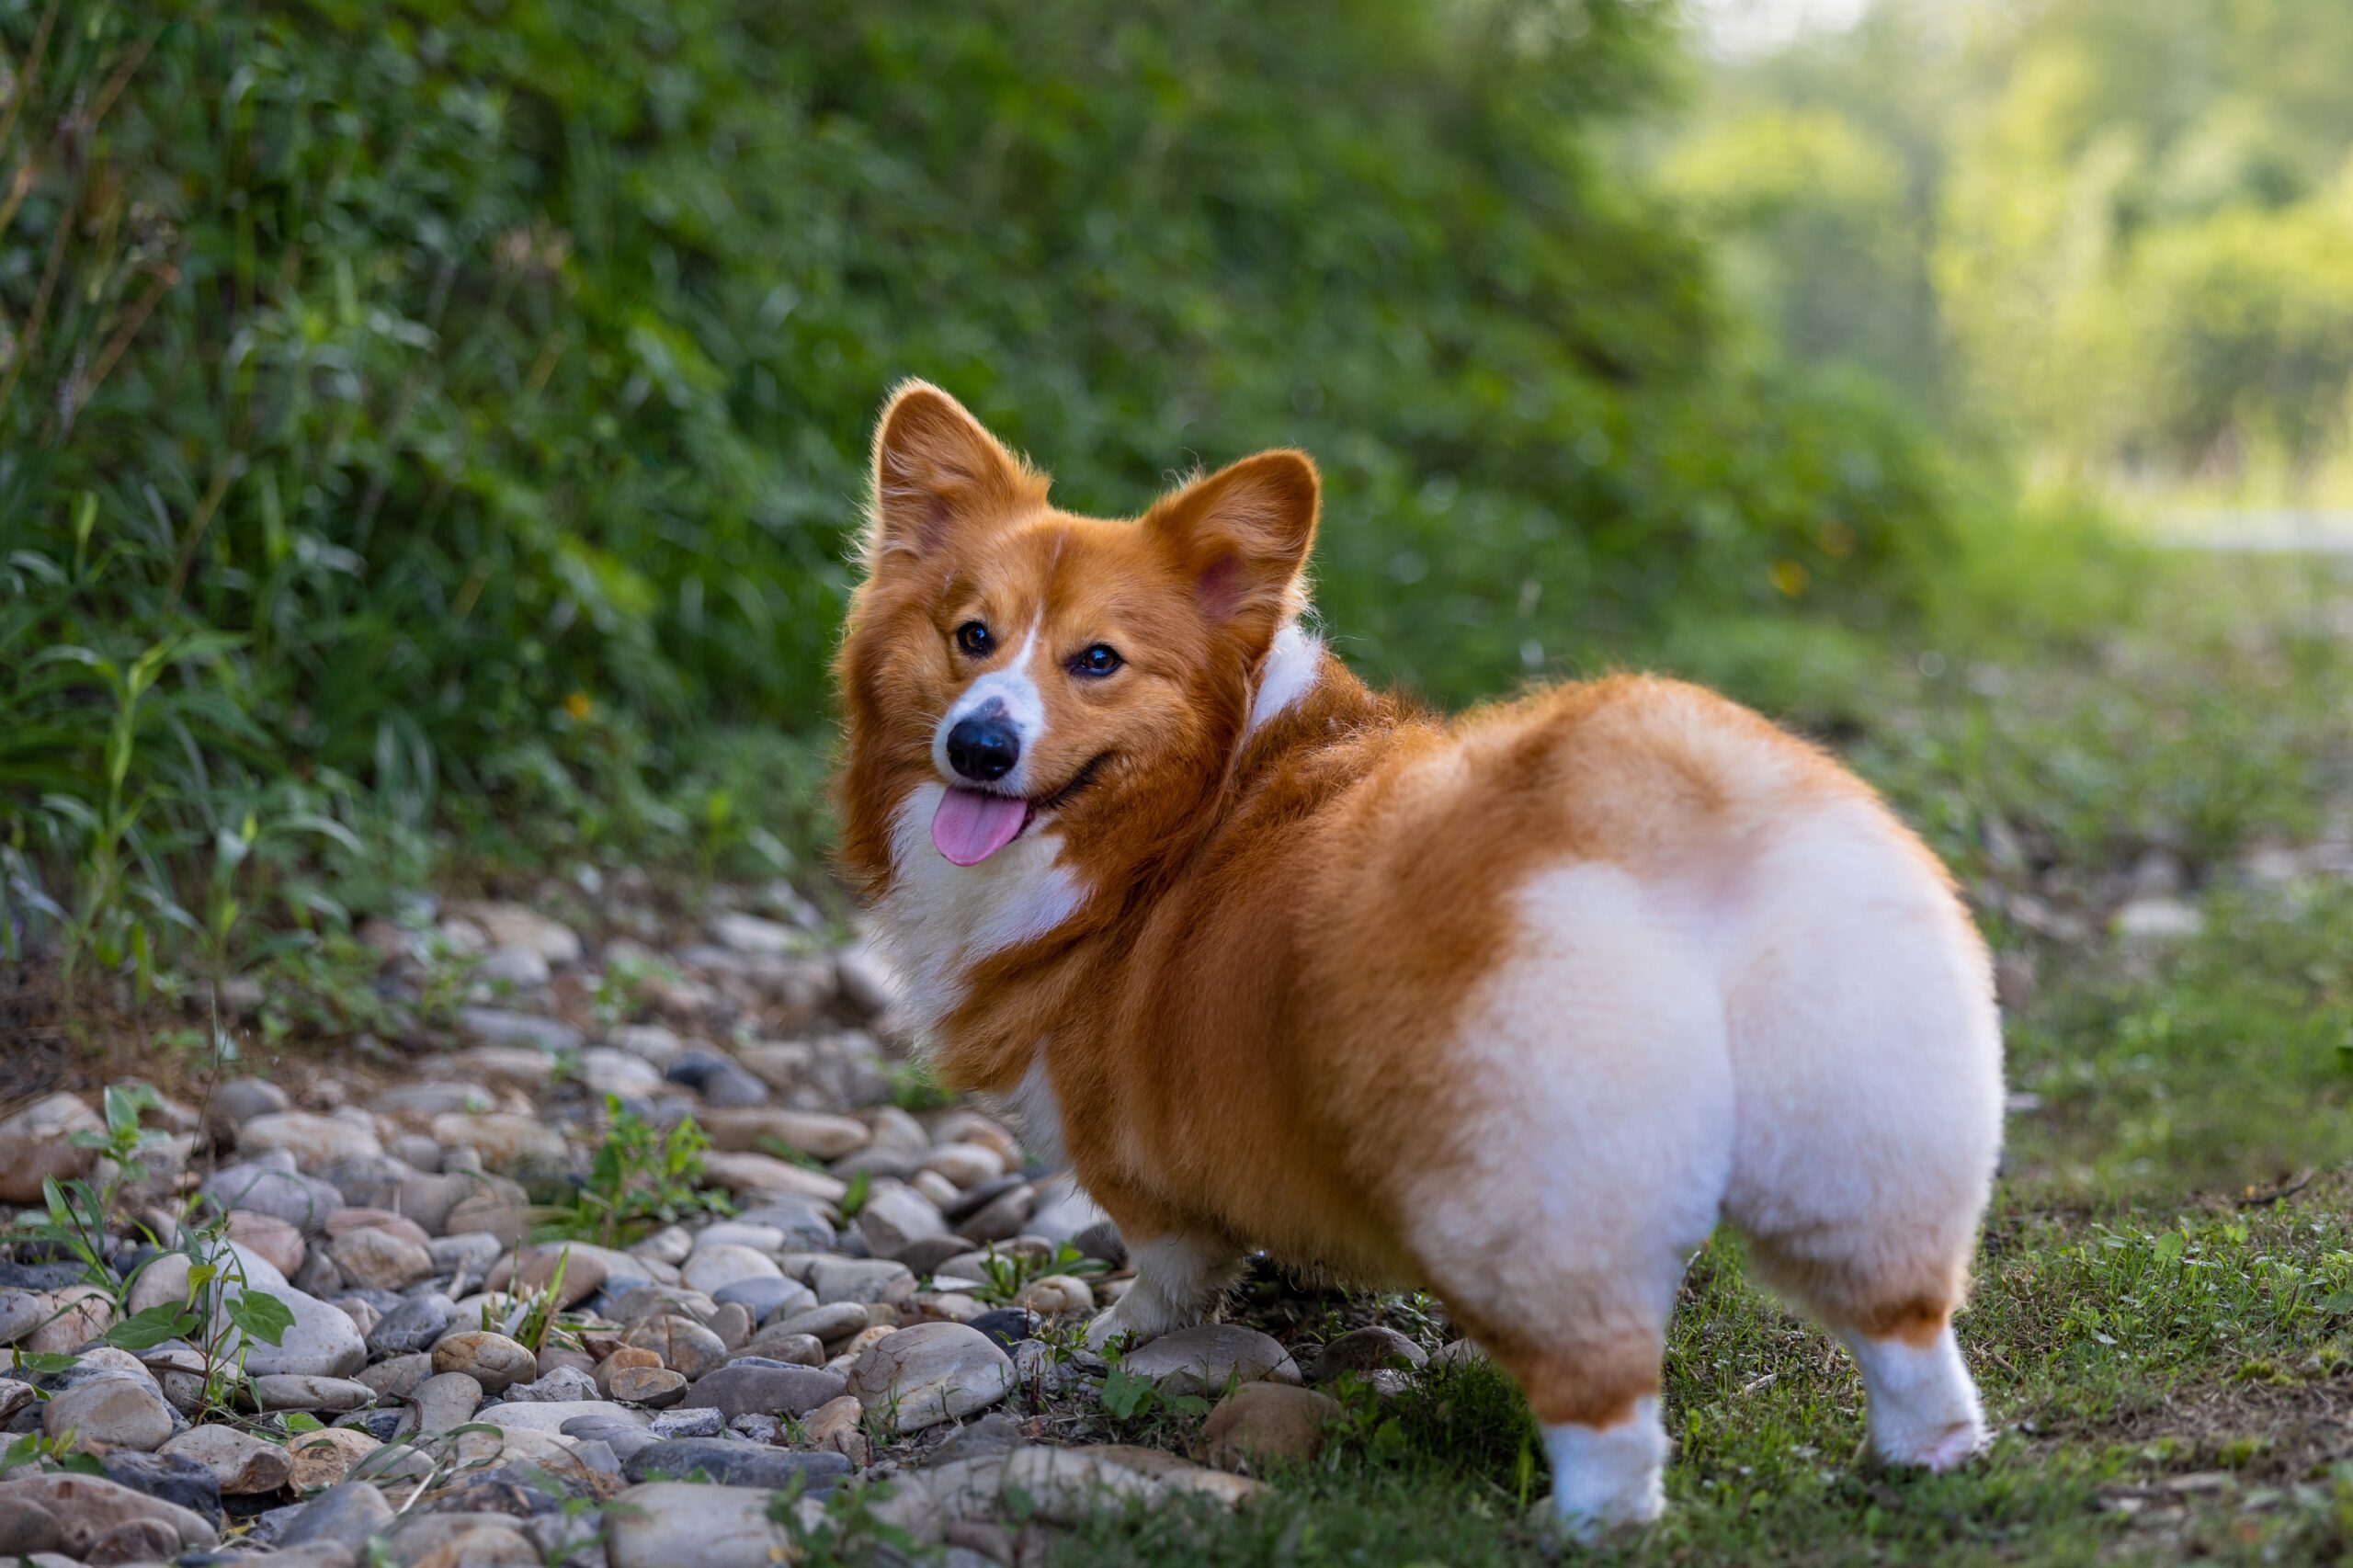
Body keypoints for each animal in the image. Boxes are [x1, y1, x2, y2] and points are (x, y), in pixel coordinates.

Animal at [837, 379, 1995, 1525]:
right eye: (970, 635)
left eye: (1096, 660)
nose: (979, 746)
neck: (1176, 813)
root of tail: (1658, 818)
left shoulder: (1118, 1129)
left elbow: (1169, 1256)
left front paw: (1124, 1328)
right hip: (1855, 1140)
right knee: (1905, 1327)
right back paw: (1926, 1456)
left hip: (1522, 1203)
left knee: (1609, 1407)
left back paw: (1576, 1525)